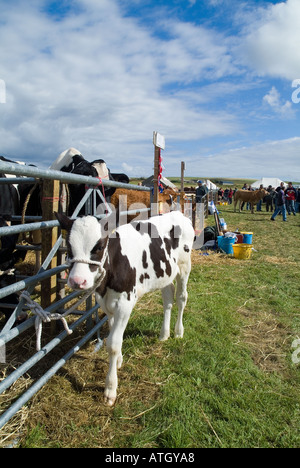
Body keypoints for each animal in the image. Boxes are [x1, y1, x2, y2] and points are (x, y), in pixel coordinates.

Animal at [56, 210, 195, 404]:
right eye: (69, 247)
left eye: (99, 246)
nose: (77, 281)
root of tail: (177, 213)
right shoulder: (106, 304)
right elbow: (113, 337)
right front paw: (118, 361)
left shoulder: (124, 304)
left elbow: (113, 344)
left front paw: (110, 389)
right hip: (165, 273)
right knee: (168, 298)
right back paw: (164, 334)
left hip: (184, 266)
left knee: (182, 298)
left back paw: (178, 332)